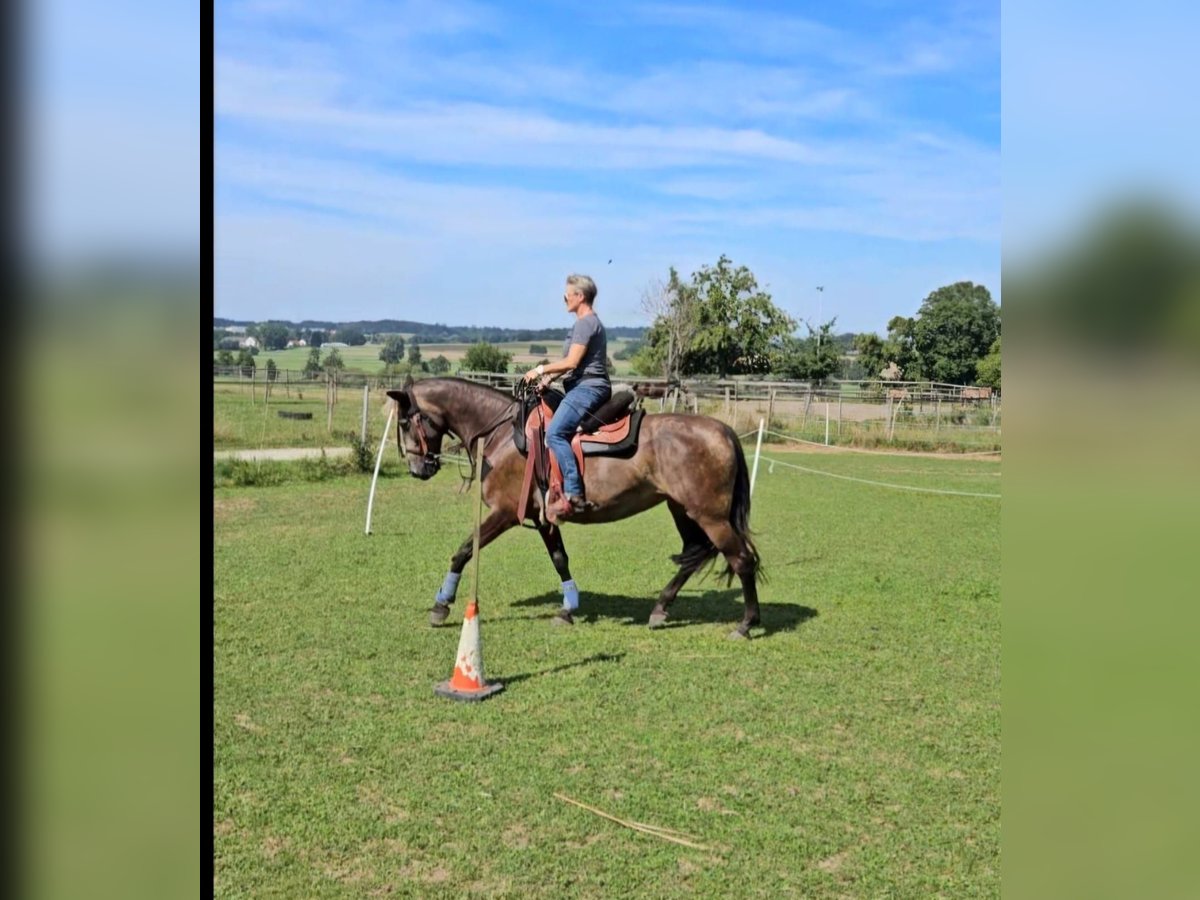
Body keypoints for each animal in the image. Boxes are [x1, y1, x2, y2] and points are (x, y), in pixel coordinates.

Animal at [388, 376, 763, 638]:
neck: (503, 434)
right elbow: (559, 560)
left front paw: (441, 605)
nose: (418, 469)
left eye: (405, 423)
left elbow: (464, 551)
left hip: (710, 515)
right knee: (693, 554)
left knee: (741, 559)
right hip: (682, 509)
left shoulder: (505, 513)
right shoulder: (543, 518)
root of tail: (724, 431)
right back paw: (660, 609)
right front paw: (568, 609)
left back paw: (746, 624)